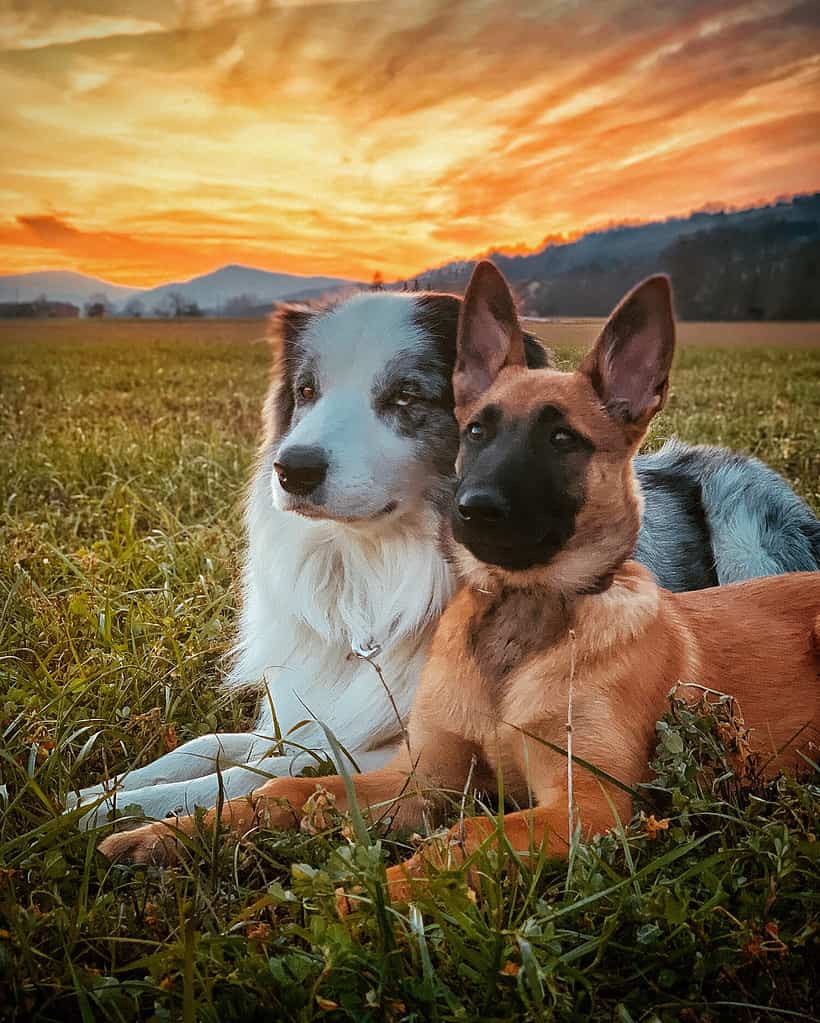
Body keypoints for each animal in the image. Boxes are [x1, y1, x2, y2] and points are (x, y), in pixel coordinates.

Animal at [99, 259, 813, 900]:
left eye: (406, 396)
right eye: (305, 392)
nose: (291, 469)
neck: (374, 580)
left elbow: (259, 770)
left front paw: (122, 809)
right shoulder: (359, 735)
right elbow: (220, 750)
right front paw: (106, 796)